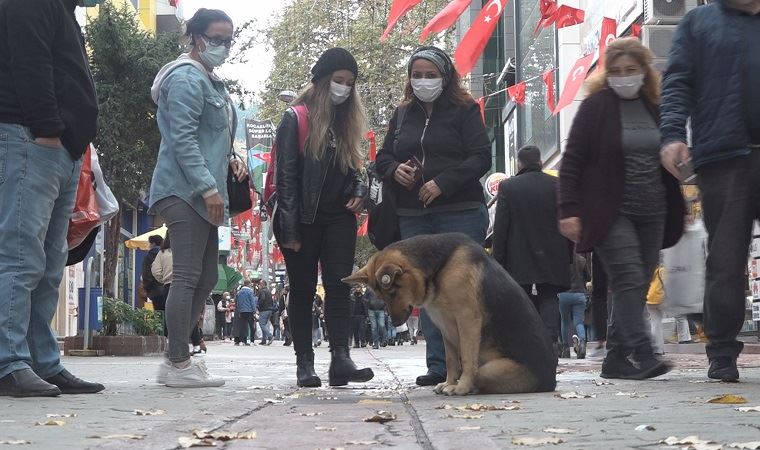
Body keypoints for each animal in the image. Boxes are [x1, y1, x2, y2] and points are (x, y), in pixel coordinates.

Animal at [342, 234, 552, 396]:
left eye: (393, 293)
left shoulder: (467, 320)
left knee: (480, 374)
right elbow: (451, 361)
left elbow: (466, 358)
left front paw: (461, 386)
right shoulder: (446, 327)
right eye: (381, 297)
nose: (395, 323)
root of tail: (550, 382)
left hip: (490, 370)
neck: (440, 269)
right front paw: (450, 383)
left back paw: (471, 387)